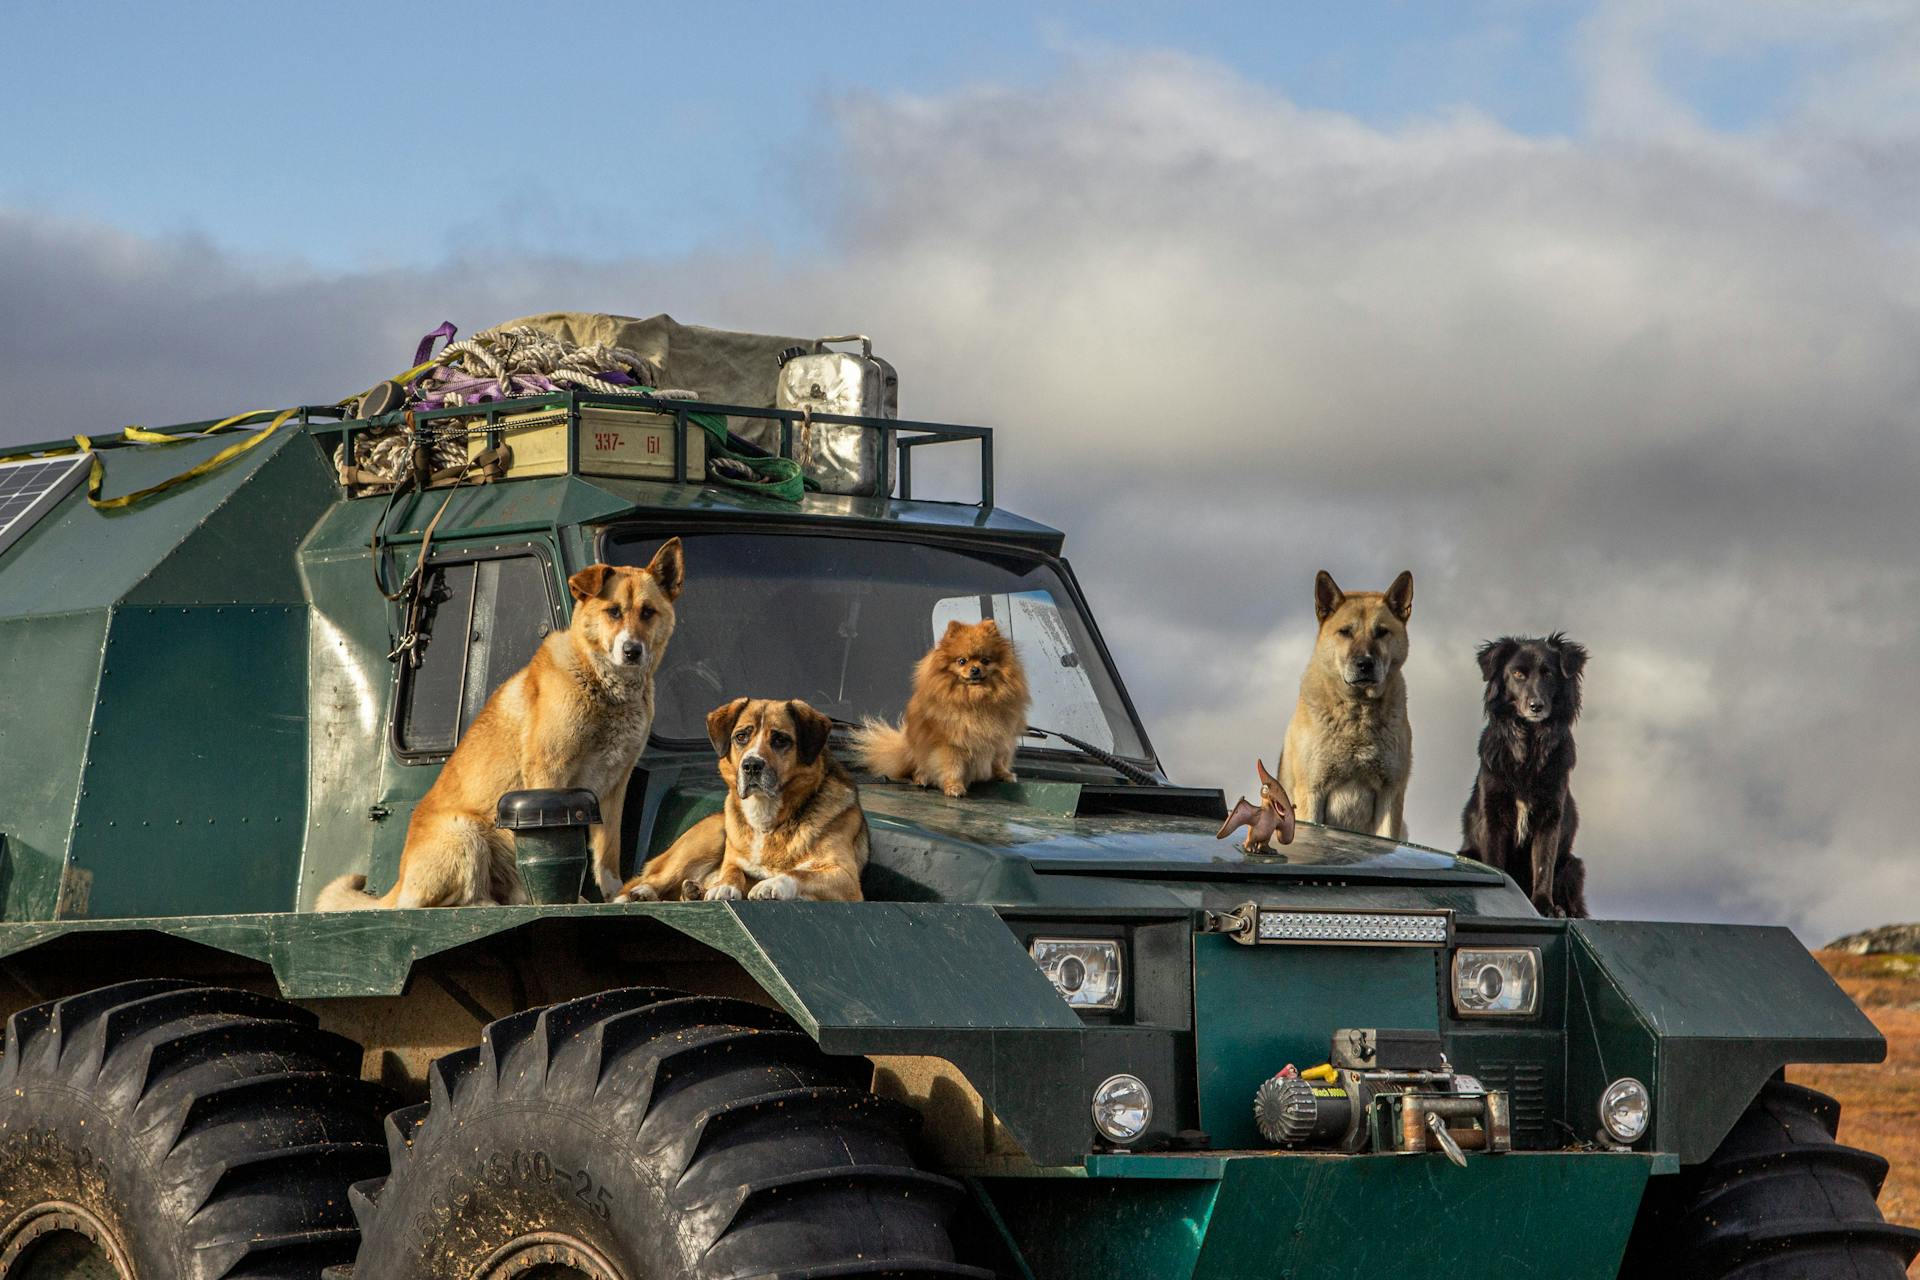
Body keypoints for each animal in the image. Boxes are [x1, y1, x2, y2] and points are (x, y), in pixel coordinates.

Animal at [322, 541, 691, 909]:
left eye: (648, 612)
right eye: (613, 612)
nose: (632, 651)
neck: (603, 686)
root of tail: (398, 882)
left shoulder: (614, 785)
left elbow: (608, 854)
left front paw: (617, 895)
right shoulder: (549, 776)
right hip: (465, 831)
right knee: (448, 902)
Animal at [618, 702, 867, 901]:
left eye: (780, 739)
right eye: (741, 737)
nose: (751, 765)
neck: (769, 817)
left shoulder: (846, 880)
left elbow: (800, 872)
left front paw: (771, 884)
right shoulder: (733, 858)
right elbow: (733, 870)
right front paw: (725, 886)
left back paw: (692, 891)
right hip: (708, 837)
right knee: (649, 880)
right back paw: (643, 892)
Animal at [860, 617, 1036, 794]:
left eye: (985, 660)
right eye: (962, 661)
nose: (975, 669)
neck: (975, 699)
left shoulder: (999, 739)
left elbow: (998, 760)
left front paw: (1004, 774)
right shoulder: (951, 743)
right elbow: (953, 766)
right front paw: (954, 786)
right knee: (917, 767)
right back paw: (922, 778)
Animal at [1282, 571, 1420, 840]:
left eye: (1382, 632)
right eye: (1345, 632)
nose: (1364, 664)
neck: (1358, 712)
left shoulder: (1390, 793)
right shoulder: (1312, 791)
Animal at [1466, 633, 1589, 917]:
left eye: (1548, 674)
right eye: (1518, 674)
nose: (1536, 706)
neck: (1530, 745)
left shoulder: (1550, 816)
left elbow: (1543, 865)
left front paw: (1545, 906)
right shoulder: (1493, 815)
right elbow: (1496, 863)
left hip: (1572, 866)